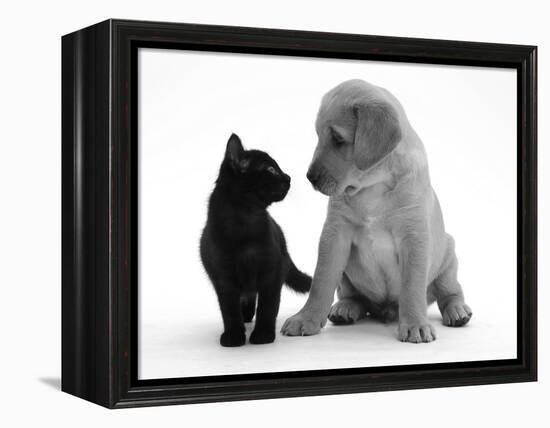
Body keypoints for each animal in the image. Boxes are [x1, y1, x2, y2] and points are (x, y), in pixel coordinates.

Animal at [202, 134, 314, 348]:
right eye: (270, 169)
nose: (288, 177)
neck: (245, 220)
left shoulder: (272, 271)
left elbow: (268, 306)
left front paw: (263, 335)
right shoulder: (224, 277)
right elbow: (229, 309)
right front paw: (233, 336)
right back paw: (245, 317)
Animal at [284, 78, 474, 342]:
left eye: (338, 139)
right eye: (318, 136)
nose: (310, 177)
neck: (374, 186)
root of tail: (385, 309)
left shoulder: (413, 237)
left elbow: (412, 287)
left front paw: (415, 324)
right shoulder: (335, 234)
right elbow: (321, 281)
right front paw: (305, 318)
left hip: (448, 255)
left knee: (450, 291)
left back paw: (457, 310)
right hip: (347, 277)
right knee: (354, 297)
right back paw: (345, 308)